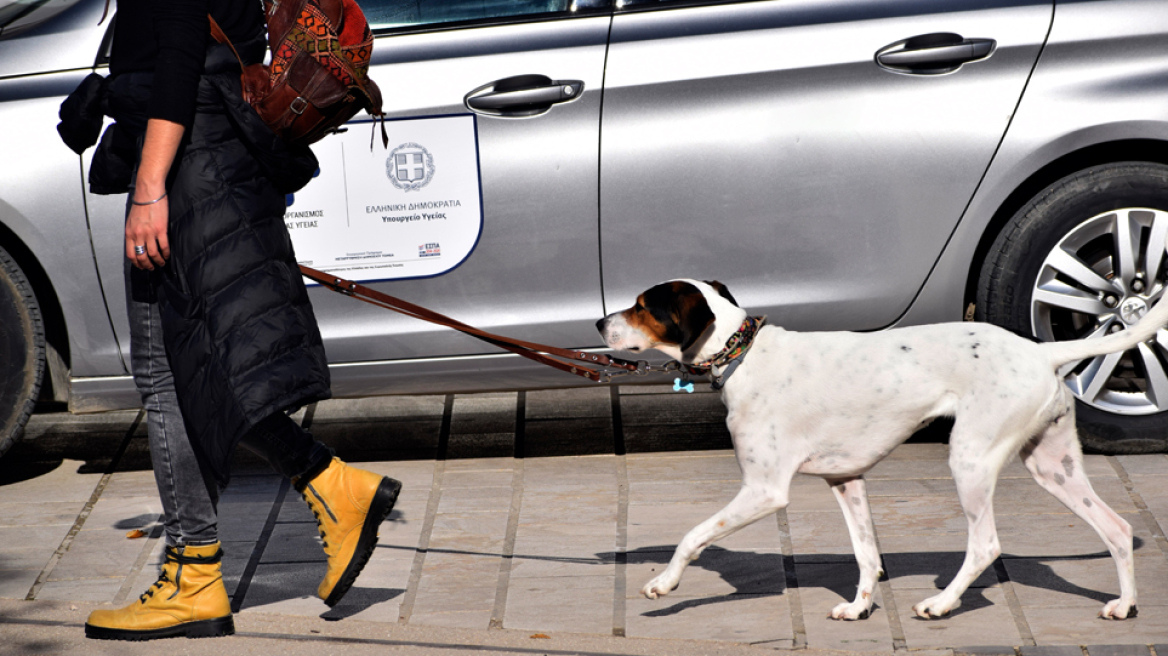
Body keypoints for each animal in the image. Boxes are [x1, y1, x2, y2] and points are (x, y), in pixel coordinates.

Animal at [598, 276, 1153, 616]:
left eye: (642, 307)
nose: (600, 323)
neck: (745, 355)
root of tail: (1041, 351)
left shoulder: (764, 490)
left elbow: (692, 536)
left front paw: (665, 584)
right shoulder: (847, 480)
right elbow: (867, 555)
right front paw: (860, 607)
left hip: (970, 460)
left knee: (985, 545)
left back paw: (942, 604)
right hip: (1052, 467)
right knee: (1118, 529)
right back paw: (1125, 605)